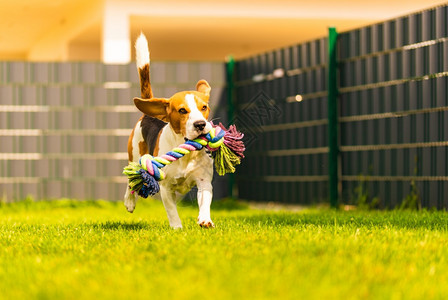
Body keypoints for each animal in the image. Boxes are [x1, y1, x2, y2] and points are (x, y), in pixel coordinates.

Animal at [123, 32, 214, 229]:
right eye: (182, 110)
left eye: (204, 107)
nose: (200, 124)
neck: (187, 153)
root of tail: (147, 114)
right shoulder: (166, 188)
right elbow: (172, 211)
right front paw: (177, 228)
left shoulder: (204, 181)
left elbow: (205, 201)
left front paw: (205, 219)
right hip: (134, 155)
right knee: (131, 179)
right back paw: (129, 201)